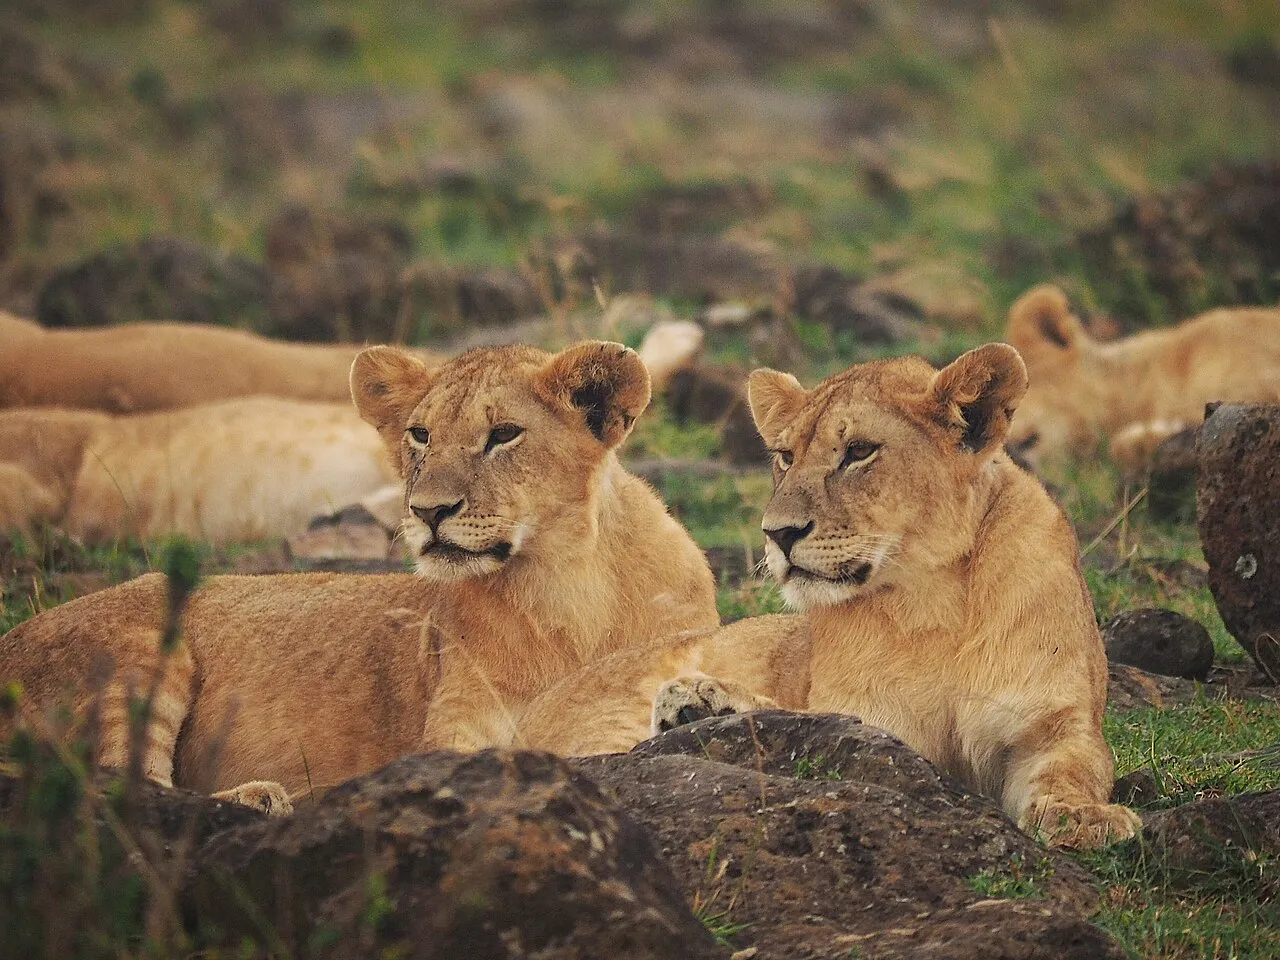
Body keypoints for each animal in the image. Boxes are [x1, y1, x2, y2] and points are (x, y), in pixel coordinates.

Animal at [519, 344, 1140, 849]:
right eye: (785, 456)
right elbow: (818, 719)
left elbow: (1070, 771)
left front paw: (1089, 819)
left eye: (859, 452)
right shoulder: (876, 726)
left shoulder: (1056, 721)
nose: (778, 533)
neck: (932, 603)